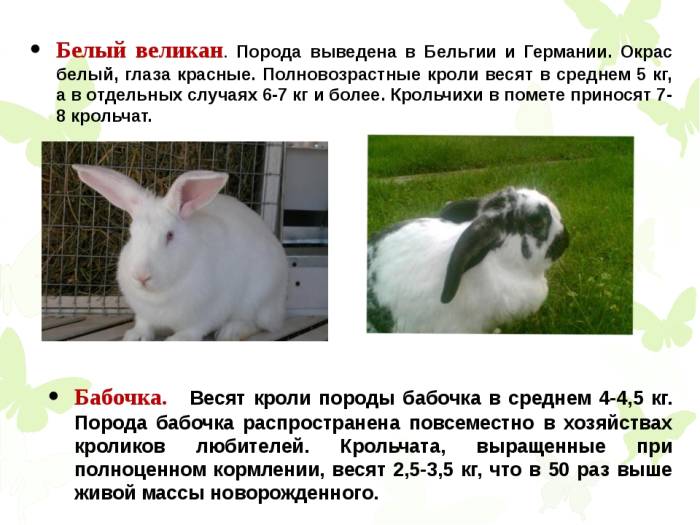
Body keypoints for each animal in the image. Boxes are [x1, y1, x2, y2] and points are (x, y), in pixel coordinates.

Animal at [73, 164, 288, 341]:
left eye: (169, 235)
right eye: (132, 234)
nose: (141, 276)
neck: (160, 294)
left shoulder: (208, 311)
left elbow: (194, 329)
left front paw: (177, 340)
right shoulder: (144, 313)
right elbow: (144, 324)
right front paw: (135, 336)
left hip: (258, 298)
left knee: (254, 323)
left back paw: (230, 332)